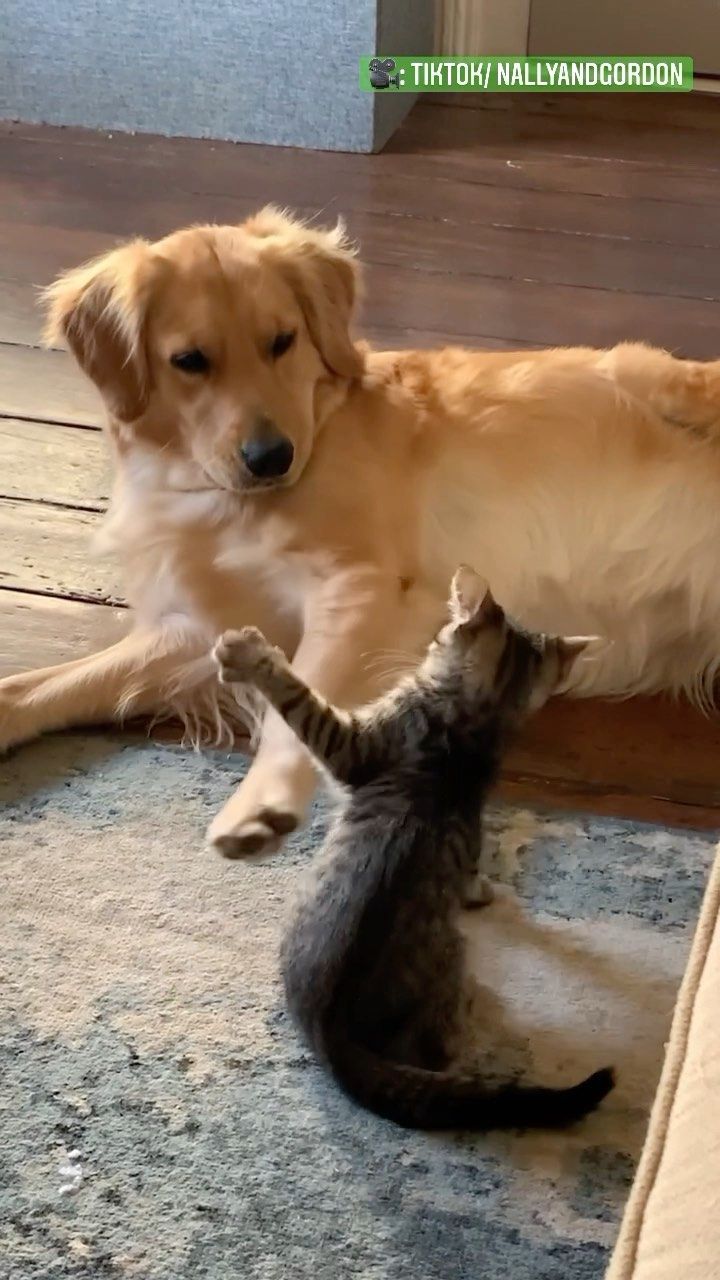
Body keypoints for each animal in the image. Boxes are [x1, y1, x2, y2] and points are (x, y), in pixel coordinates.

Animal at [4, 204, 717, 855]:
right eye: (190, 360)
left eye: (283, 341)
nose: (272, 458)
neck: (214, 497)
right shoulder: (200, 627)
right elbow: (44, 685)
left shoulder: (362, 586)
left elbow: (292, 716)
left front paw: (261, 803)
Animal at [212, 570, 609, 1131]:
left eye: (441, 633)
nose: (433, 637)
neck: (469, 723)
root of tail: (333, 1035)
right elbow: (472, 863)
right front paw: (480, 890)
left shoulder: (358, 745)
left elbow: (301, 701)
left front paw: (251, 655)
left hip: (446, 959)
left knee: (438, 1052)